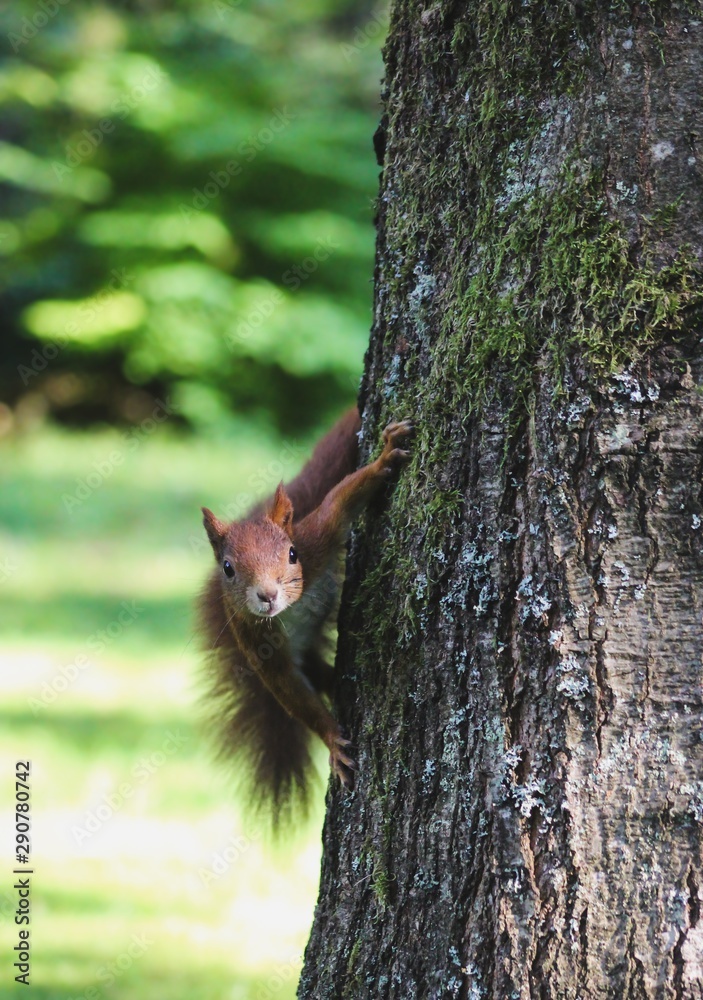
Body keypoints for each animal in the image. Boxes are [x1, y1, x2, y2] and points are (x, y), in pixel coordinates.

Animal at [198, 408, 412, 825]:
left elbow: (340, 502)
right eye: (228, 569)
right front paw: (332, 739)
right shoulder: (255, 640)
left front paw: (385, 456)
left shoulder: (317, 539)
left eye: (291, 554)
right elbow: (290, 691)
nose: (267, 595)